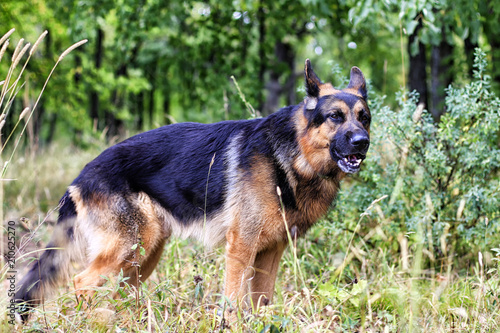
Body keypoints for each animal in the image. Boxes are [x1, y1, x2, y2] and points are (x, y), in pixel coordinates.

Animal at [14, 59, 372, 320]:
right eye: (335, 117)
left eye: (364, 118)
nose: (362, 142)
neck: (290, 154)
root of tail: (81, 176)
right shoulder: (241, 248)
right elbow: (233, 302)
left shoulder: (271, 252)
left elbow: (261, 302)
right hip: (131, 246)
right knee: (82, 282)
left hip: (145, 255)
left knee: (118, 292)